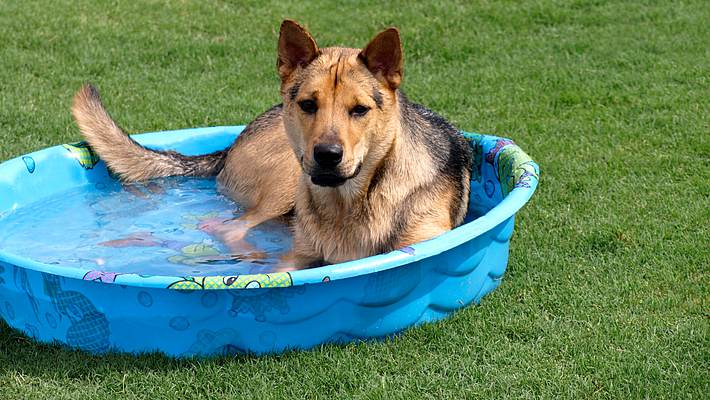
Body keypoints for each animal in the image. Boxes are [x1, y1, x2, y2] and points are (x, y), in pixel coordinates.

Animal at [71, 18, 472, 268]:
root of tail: (232, 143)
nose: (327, 155)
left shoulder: (419, 242)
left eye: (359, 110)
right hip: (286, 178)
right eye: (308, 104)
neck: (350, 202)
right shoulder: (299, 256)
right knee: (226, 227)